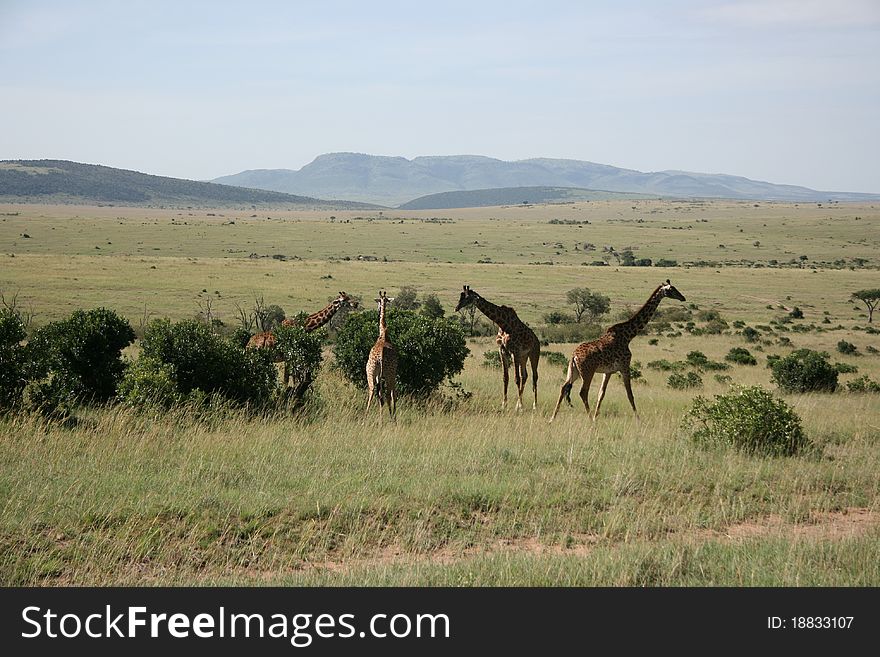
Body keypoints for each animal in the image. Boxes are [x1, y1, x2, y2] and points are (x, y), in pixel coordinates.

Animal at [364, 290, 398, 420]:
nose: (378, 310)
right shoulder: (393, 373)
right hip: (388, 374)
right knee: (387, 394)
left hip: (371, 372)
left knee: (373, 391)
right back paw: (391, 418)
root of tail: (381, 357)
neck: (383, 333)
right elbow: (393, 395)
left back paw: (366, 418)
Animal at [552, 276, 688, 420]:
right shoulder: (625, 367)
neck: (629, 335)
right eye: (672, 289)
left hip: (574, 371)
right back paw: (588, 418)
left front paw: (596, 416)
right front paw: (638, 419)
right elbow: (630, 394)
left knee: (563, 387)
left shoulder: (608, 371)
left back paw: (552, 418)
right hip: (587, 372)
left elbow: (601, 394)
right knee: (583, 392)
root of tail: (574, 356)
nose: (683, 297)